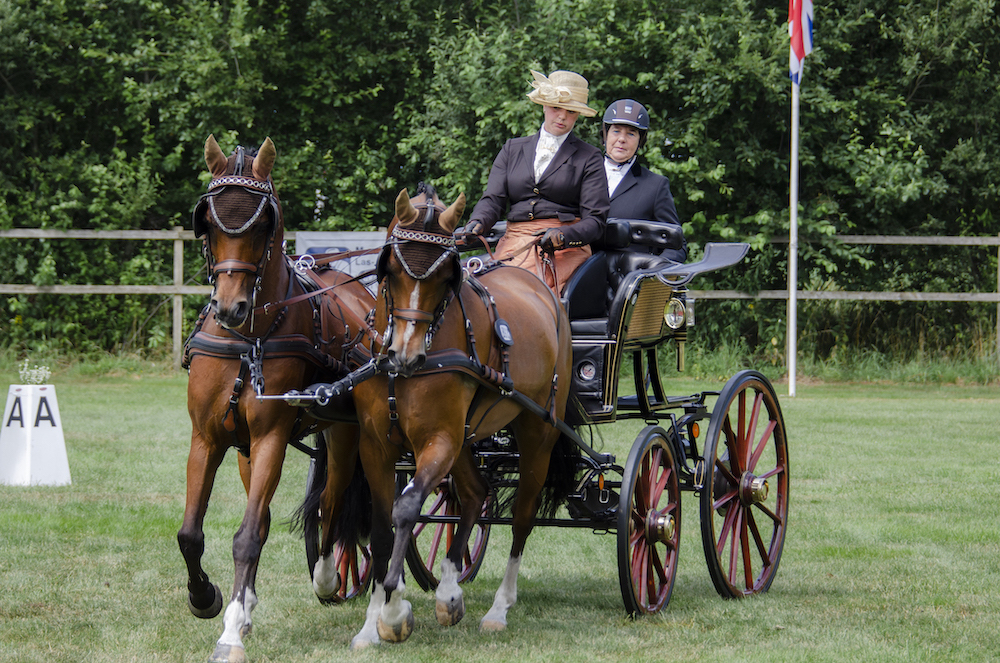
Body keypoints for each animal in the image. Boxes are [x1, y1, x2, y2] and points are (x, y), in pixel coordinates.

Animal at [177, 135, 374, 663]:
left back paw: (328, 577)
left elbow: (246, 537)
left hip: (342, 436)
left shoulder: (271, 436)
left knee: (332, 502)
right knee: (270, 514)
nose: (230, 307)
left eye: (263, 223)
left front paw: (228, 634)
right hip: (246, 449)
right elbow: (192, 533)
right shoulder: (208, 439)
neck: (249, 339)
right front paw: (209, 599)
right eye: (208, 221)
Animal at [345, 184, 578, 648]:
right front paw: (371, 622)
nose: (405, 355)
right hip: (468, 437)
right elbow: (380, 527)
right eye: (391, 270)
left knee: (522, 516)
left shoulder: (439, 439)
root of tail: (543, 290)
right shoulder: (376, 445)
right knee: (473, 493)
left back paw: (499, 609)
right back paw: (449, 592)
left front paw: (394, 613)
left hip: (536, 432)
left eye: (443, 279)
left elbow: (406, 508)